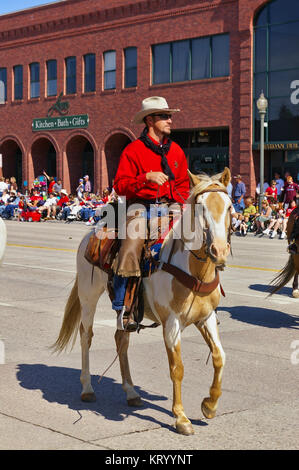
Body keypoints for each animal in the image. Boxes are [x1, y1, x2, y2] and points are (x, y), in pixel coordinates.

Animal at [53, 167, 232, 436]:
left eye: (229, 206)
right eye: (201, 208)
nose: (219, 251)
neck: (192, 268)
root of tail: (90, 233)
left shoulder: (207, 317)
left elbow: (219, 357)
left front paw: (209, 405)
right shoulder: (171, 323)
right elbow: (177, 368)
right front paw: (181, 418)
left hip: (124, 309)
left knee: (121, 339)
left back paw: (131, 392)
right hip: (88, 296)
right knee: (86, 335)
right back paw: (87, 388)